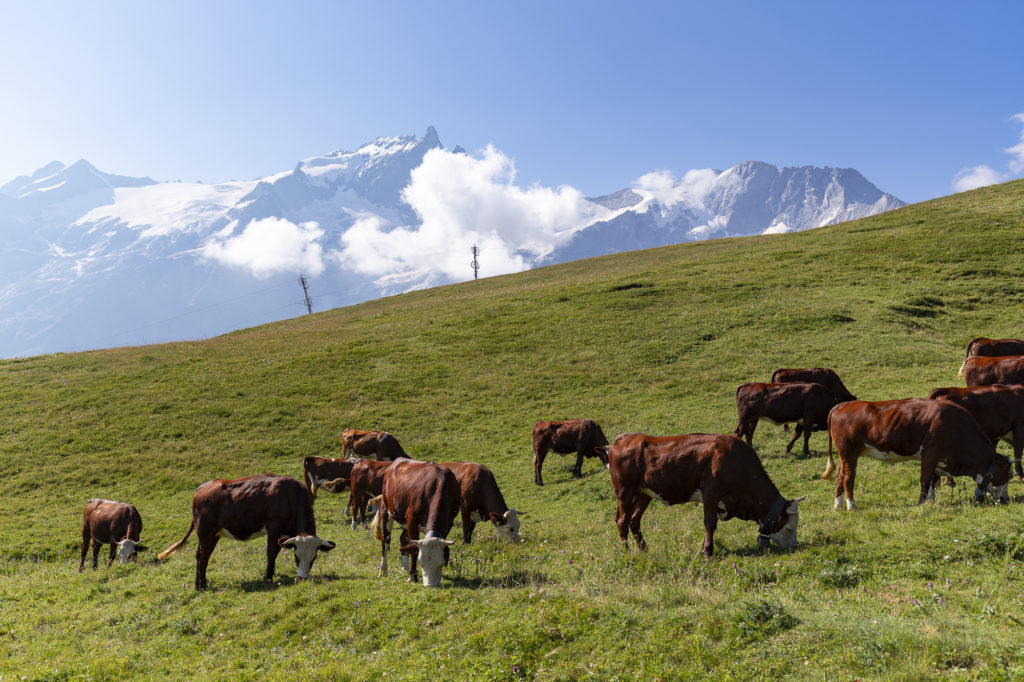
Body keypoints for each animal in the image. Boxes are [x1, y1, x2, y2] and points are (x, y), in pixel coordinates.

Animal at [157, 473, 335, 589]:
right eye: (297, 557)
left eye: (314, 557)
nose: (303, 578)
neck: (291, 497)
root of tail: (203, 487)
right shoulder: (274, 527)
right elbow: (272, 552)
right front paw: (268, 577)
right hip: (205, 532)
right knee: (201, 557)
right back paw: (201, 586)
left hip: (213, 535)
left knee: (203, 557)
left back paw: (200, 584)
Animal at [370, 456, 458, 585]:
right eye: (421, 563)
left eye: (441, 563)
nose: (430, 585)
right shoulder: (412, 518)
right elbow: (414, 551)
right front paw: (412, 576)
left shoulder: (449, 521)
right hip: (386, 510)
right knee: (385, 541)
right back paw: (383, 570)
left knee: (403, 539)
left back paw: (404, 566)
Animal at [606, 432, 798, 557]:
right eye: (789, 527)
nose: (794, 547)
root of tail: (622, 439)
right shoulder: (711, 494)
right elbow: (710, 524)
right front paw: (707, 551)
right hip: (624, 492)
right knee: (622, 521)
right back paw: (626, 552)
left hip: (643, 494)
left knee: (634, 521)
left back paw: (644, 550)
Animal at [823, 395, 1007, 507]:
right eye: (1008, 475)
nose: (1005, 499)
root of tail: (841, 406)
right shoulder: (930, 454)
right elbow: (925, 480)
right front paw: (921, 503)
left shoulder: (938, 459)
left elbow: (933, 480)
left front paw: (931, 500)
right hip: (849, 453)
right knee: (848, 479)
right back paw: (851, 506)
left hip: (844, 457)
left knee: (839, 477)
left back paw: (837, 505)